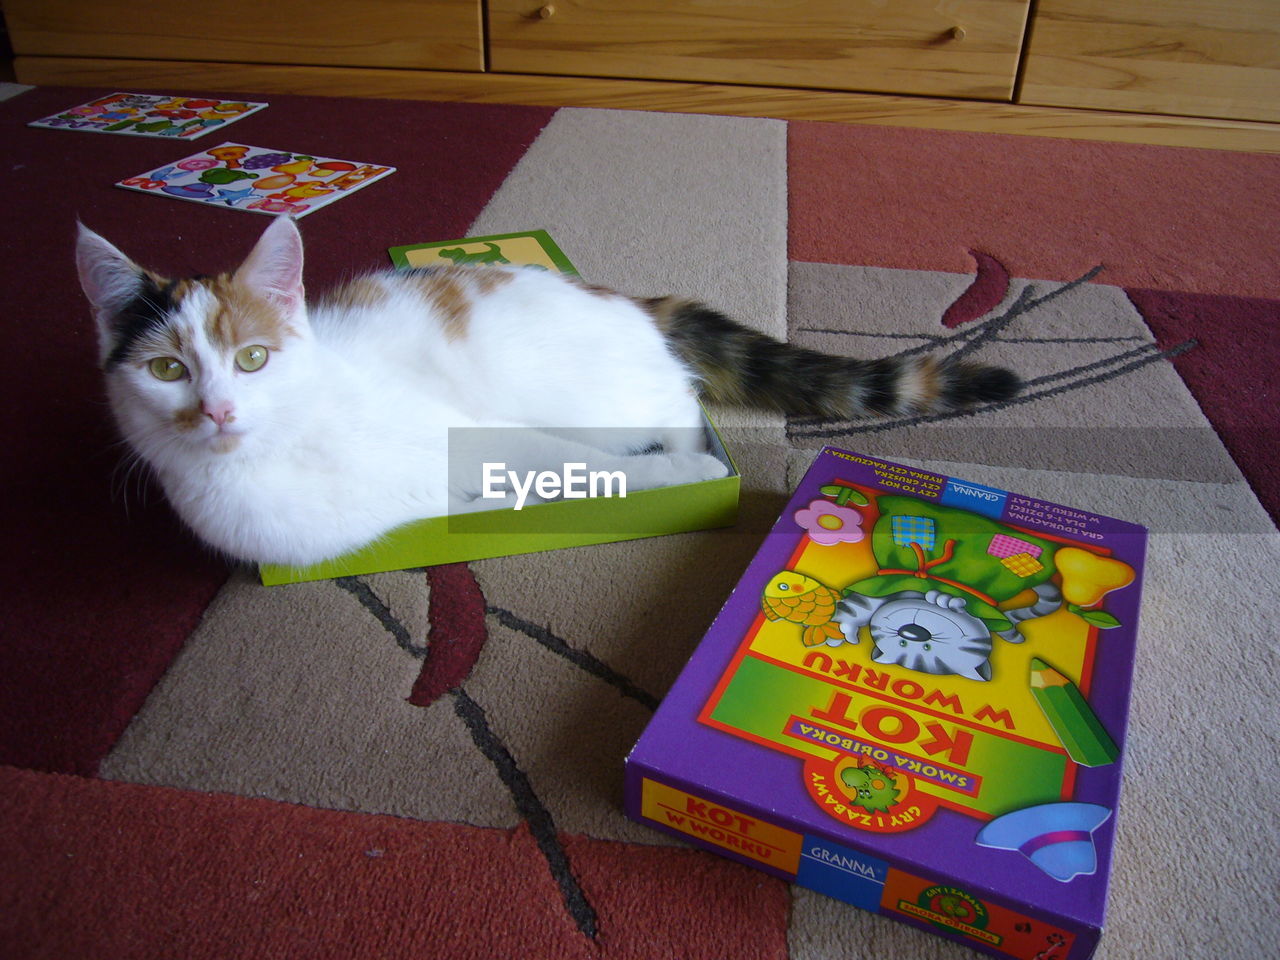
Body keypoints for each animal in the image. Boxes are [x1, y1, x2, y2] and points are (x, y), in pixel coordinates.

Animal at [77, 217, 1018, 563]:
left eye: (252, 359)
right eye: (167, 370)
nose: (217, 410)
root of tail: (628, 298)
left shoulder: (485, 436)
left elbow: (579, 468)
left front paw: (684, 479)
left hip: (599, 399)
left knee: (676, 407)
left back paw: (689, 451)